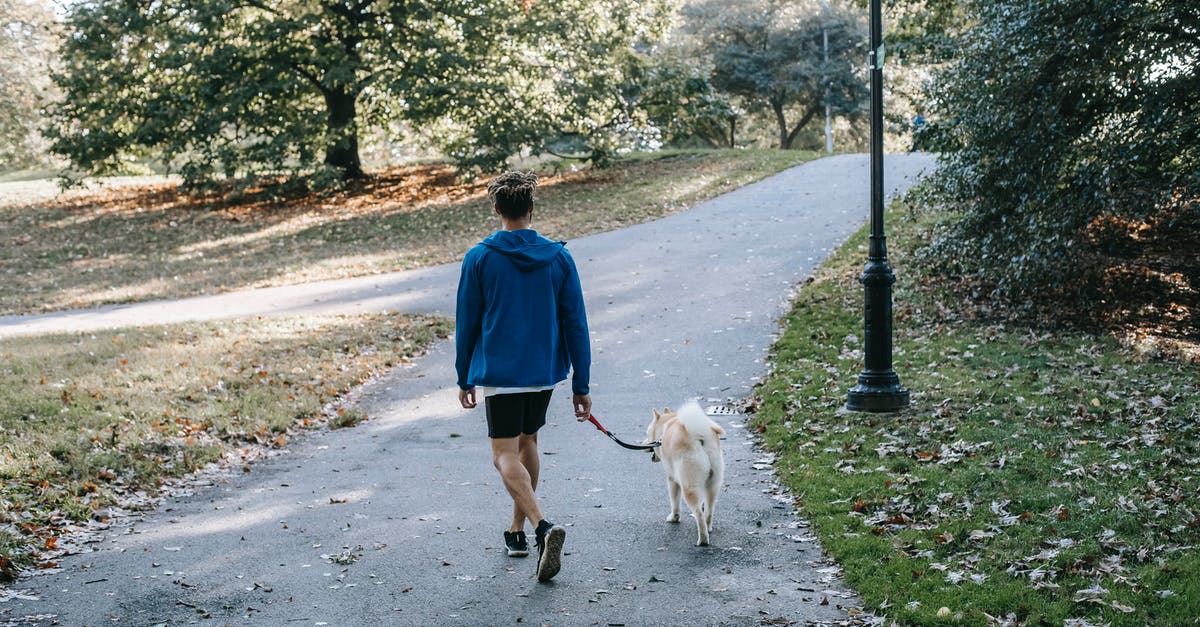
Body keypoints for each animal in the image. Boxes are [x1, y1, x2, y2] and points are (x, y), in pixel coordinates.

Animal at [648, 401, 720, 540]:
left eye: (647, 433)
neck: (664, 428)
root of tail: (700, 437)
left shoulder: (672, 479)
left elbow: (675, 503)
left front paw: (674, 518)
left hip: (689, 487)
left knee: (698, 513)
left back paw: (703, 540)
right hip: (713, 485)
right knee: (708, 510)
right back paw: (708, 528)